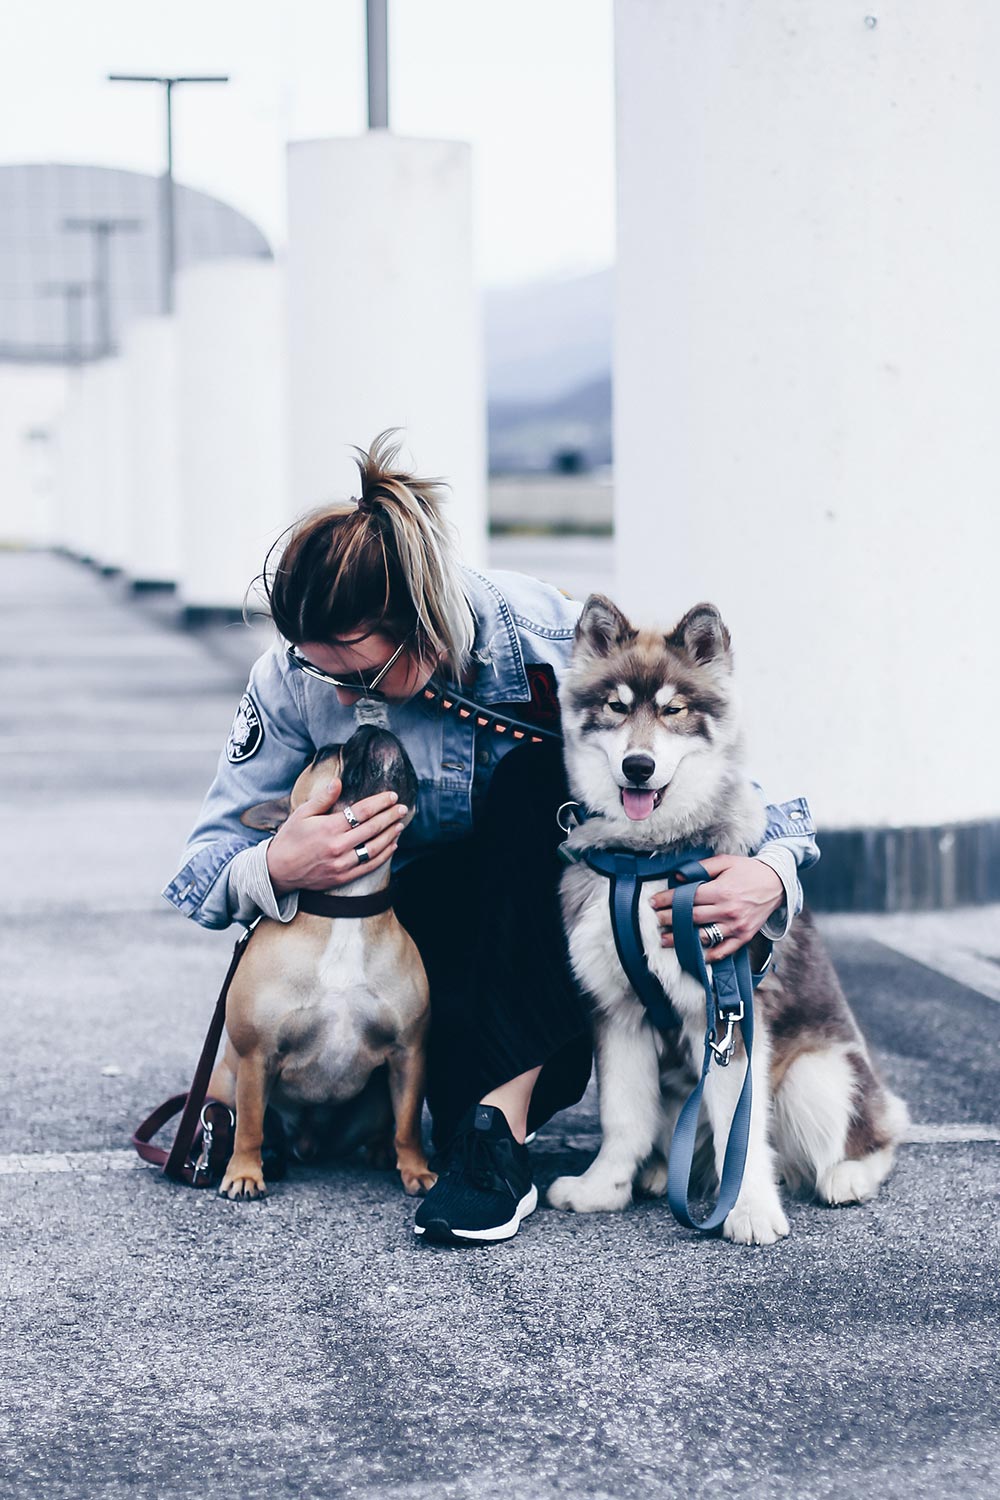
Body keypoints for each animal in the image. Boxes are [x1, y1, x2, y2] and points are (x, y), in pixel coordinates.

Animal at [548, 594, 905, 1242]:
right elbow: (621, 1117)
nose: (638, 766)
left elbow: (743, 1132)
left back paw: (848, 1176)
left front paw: (751, 1210)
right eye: (616, 706)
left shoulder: (727, 1017)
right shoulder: (618, 1015)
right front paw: (602, 1188)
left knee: (873, 1136)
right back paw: (661, 1173)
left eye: (675, 710)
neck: (648, 861)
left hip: (819, 1076)